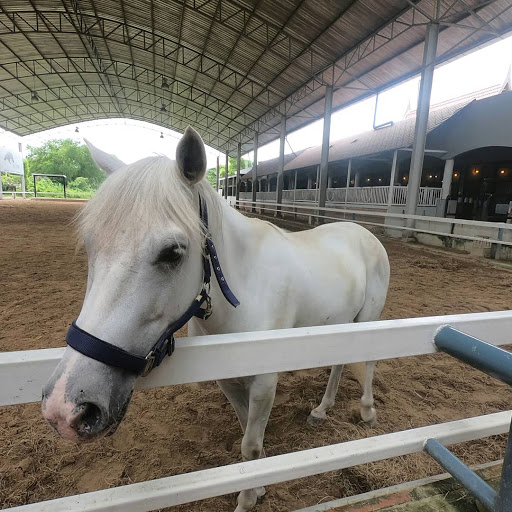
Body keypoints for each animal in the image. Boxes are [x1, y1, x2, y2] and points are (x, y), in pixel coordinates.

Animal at [43, 127, 388, 512]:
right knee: (340, 364)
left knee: (367, 362)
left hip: (368, 320)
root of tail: (365, 233)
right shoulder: (228, 378)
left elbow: (249, 444)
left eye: (172, 252)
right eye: (90, 246)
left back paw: (367, 411)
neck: (247, 287)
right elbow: (246, 432)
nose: (66, 410)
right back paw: (321, 410)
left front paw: (248, 498)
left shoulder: (265, 381)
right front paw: (258, 485)